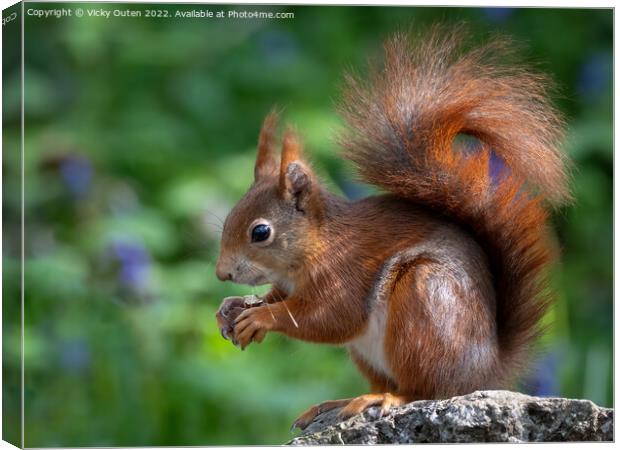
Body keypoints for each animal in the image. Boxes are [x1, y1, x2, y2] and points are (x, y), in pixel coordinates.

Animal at [214, 27, 572, 428]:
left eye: (260, 232)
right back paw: (342, 400)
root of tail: (484, 373)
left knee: (422, 389)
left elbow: (328, 317)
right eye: (230, 217)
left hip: (423, 303)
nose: (222, 274)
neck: (317, 245)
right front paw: (231, 308)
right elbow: (279, 297)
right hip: (370, 351)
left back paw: (386, 398)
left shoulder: (346, 273)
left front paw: (261, 316)